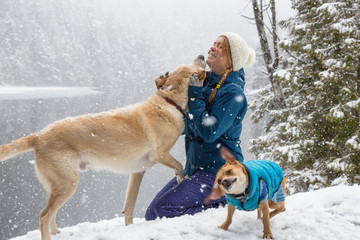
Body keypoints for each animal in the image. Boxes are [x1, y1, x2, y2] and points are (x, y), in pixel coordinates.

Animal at [0, 55, 207, 240]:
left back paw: (57, 232)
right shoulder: (160, 154)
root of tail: (39, 135)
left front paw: (129, 228)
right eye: (191, 65)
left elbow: (129, 207)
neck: (168, 102)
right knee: (44, 215)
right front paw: (180, 177)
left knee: (50, 213)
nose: (202, 55)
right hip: (67, 183)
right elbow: (179, 165)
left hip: (59, 185)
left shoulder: (137, 172)